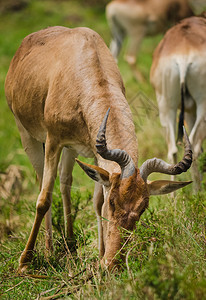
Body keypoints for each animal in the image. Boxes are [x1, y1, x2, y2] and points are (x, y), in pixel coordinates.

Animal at [4, 25, 192, 272]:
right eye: (114, 202)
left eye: (143, 207)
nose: (113, 264)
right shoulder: (53, 140)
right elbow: (44, 199)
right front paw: (25, 262)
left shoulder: (94, 153)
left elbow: (96, 202)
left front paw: (100, 255)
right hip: (27, 134)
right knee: (43, 182)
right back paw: (49, 249)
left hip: (72, 148)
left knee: (65, 181)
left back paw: (70, 244)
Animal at [150, 14, 206, 190]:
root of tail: (183, 55)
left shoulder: (188, 111)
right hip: (203, 105)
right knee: (194, 144)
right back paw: (197, 191)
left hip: (166, 106)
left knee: (173, 150)